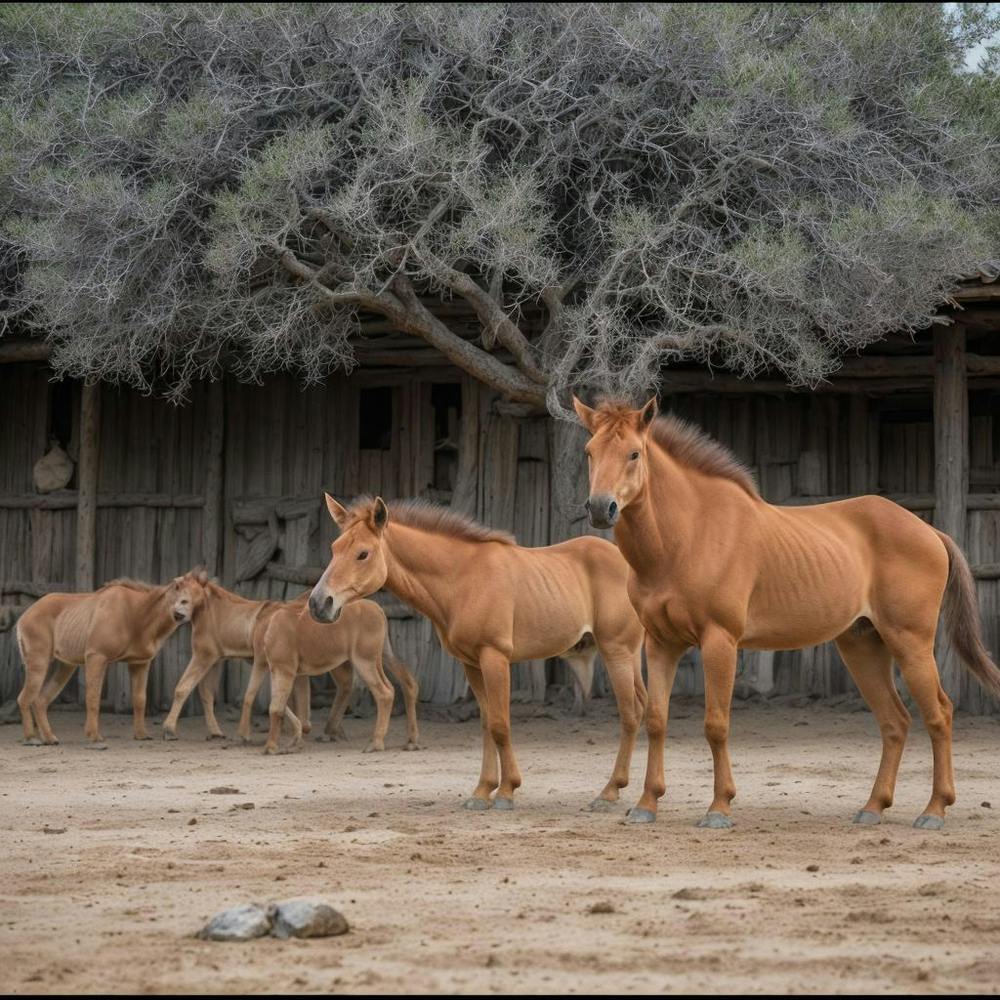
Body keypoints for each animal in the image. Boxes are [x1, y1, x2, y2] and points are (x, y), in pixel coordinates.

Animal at [16, 570, 209, 747]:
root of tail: (23, 618)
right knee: (25, 697)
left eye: (200, 602)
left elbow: (140, 699)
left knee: (40, 700)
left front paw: (142, 735)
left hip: (65, 666)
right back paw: (31, 738)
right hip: (39, 661)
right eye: (183, 597)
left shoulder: (140, 663)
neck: (135, 613)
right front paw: (94, 738)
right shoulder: (97, 657)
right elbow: (93, 697)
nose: (180, 615)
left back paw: (49, 738)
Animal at [238, 596, 420, 755]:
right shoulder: (268, 667)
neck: (267, 624)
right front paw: (293, 742)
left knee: (385, 693)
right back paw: (410, 742)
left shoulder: (283, 669)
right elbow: (253, 697)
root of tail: (378, 610)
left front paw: (271, 747)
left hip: (364, 661)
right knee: (407, 683)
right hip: (382, 655)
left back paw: (375, 743)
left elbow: (275, 707)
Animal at [308, 494, 647, 812]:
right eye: (334, 548)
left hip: (616, 652)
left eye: (363, 553)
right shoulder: (471, 664)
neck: (462, 578)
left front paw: (507, 791)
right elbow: (486, 724)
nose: (319, 603)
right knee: (644, 707)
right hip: (628, 655)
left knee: (630, 715)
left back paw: (609, 792)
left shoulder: (494, 657)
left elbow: (500, 724)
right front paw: (483, 791)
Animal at [574, 395, 1000, 829]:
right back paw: (872, 807)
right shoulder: (662, 644)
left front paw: (719, 808)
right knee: (895, 721)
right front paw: (646, 804)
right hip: (862, 646)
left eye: (634, 453)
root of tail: (930, 531)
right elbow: (656, 719)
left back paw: (934, 810)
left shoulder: (719, 641)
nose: (601, 508)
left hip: (910, 644)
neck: (689, 535)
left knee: (940, 714)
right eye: (589, 452)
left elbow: (716, 723)